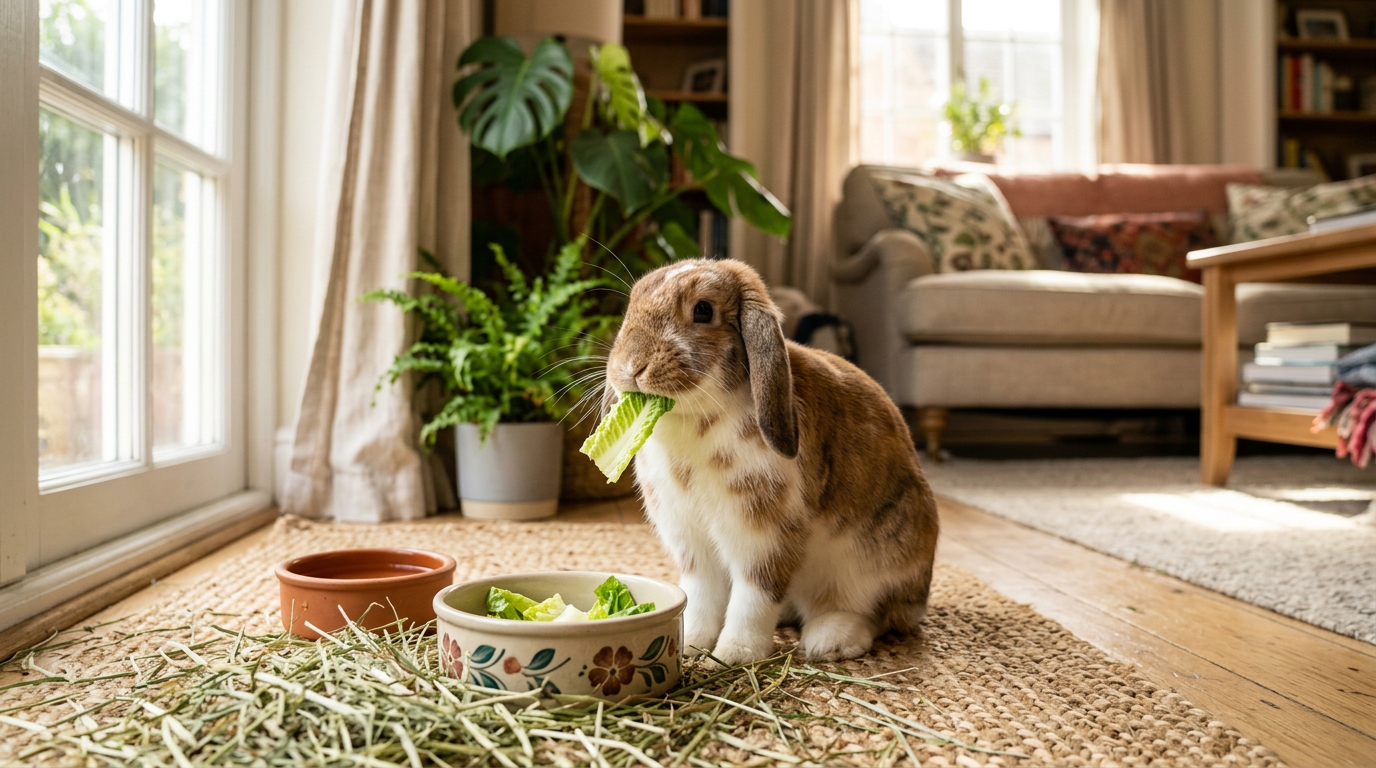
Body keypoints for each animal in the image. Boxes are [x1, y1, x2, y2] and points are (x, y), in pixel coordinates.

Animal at [604, 258, 939, 665]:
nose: (632, 367)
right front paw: (692, 645)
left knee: (877, 613)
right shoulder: (693, 547)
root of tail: (920, 597)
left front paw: (735, 655)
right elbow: (701, 598)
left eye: (703, 310)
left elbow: (754, 598)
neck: (693, 419)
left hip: (874, 562)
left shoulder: (764, 538)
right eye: (633, 303)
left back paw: (829, 639)